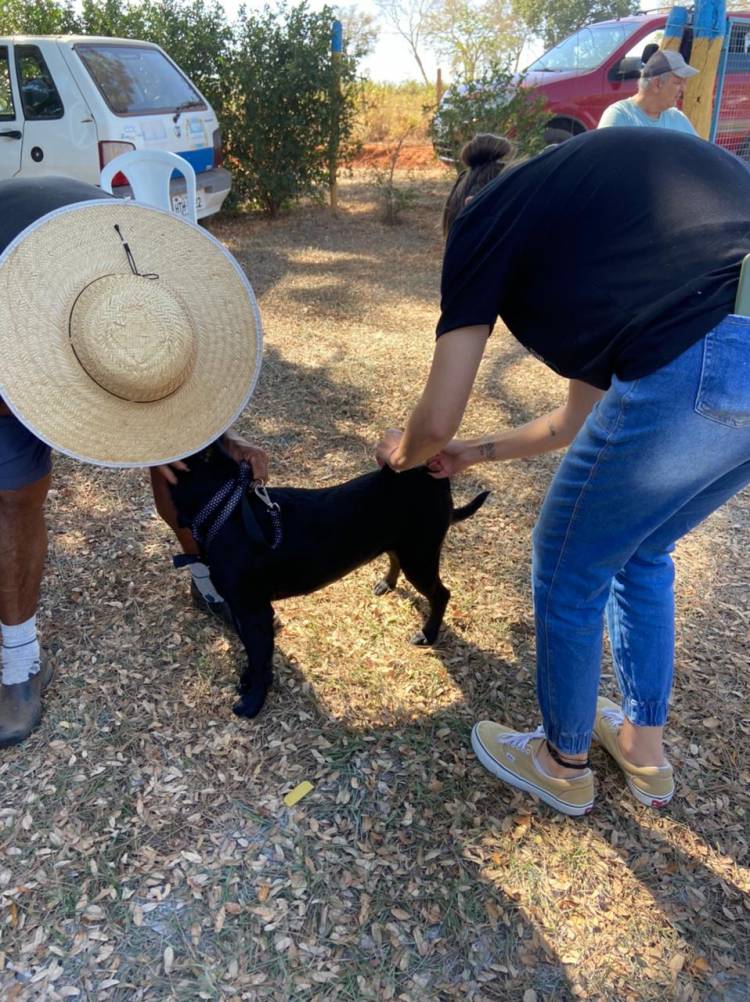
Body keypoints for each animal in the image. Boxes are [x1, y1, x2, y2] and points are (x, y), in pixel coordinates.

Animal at [169, 446, 486, 721]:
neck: (226, 505)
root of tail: (432, 477)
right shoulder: (241, 610)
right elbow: (251, 652)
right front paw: (246, 681)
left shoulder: (255, 612)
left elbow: (260, 659)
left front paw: (253, 701)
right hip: (403, 548)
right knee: (396, 560)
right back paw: (387, 584)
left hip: (420, 558)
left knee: (441, 594)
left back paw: (428, 634)